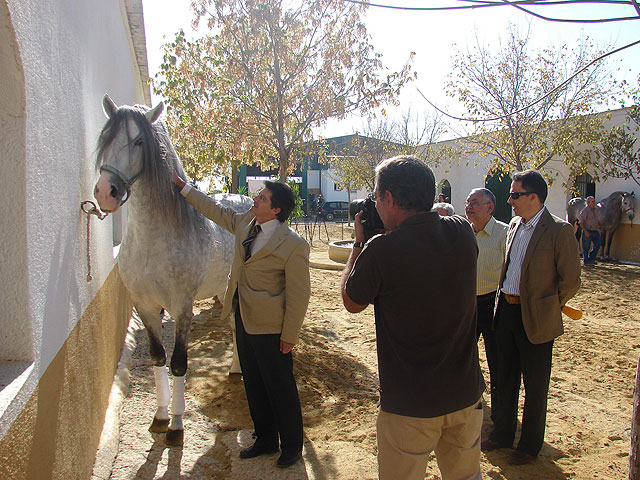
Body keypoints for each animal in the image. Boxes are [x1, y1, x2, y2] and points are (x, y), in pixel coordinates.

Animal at [93, 94, 252, 446]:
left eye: (139, 141)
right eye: (105, 138)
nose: (105, 192)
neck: (153, 239)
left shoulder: (182, 307)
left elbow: (179, 363)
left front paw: (177, 425)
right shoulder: (146, 306)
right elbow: (158, 358)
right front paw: (161, 416)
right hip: (226, 289)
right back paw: (236, 370)